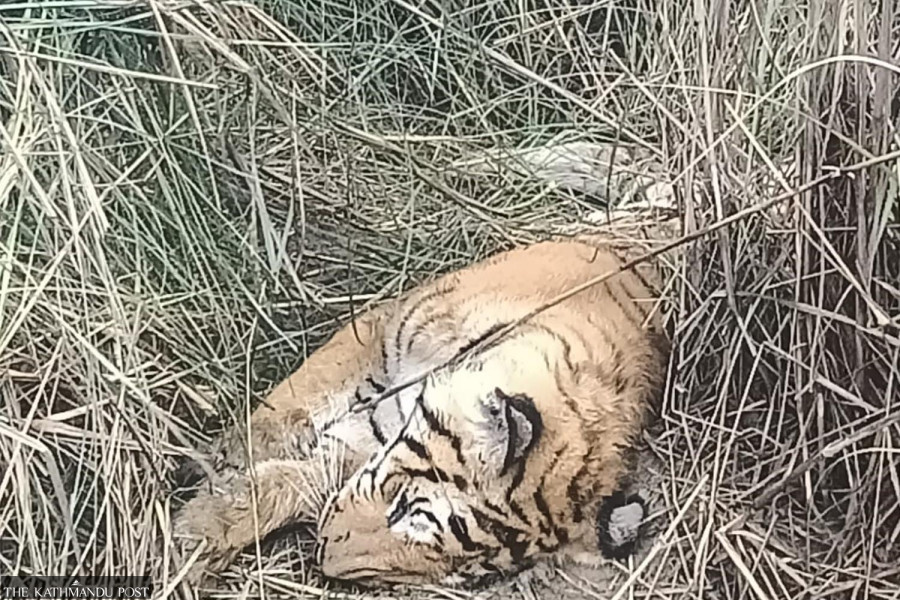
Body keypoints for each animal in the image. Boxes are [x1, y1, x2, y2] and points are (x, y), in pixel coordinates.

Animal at [173, 238, 671, 588]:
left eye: (456, 572)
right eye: (406, 507)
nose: (324, 558)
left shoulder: (368, 446)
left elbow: (295, 482)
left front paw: (197, 530)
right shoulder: (378, 331)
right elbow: (291, 405)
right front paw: (210, 486)